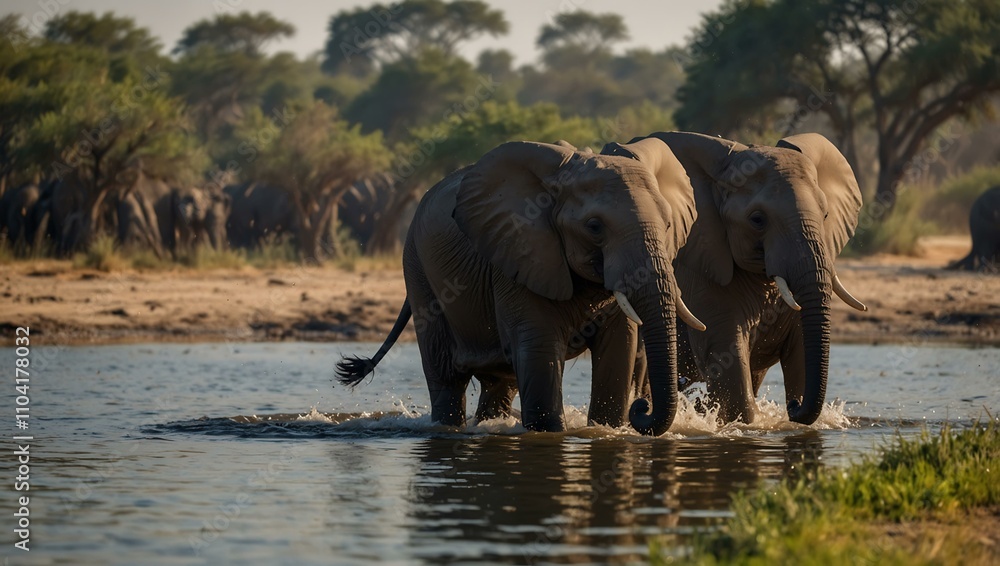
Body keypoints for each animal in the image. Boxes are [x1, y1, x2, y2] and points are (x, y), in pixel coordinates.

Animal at [336, 139, 706, 434]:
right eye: (594, 226)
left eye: (668, 224)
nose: (641, 407)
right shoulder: (517, 254)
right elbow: (541, 355)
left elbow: (619, 351)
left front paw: (608, 429)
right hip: (417, 268)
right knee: (446, 378)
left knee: (501, 383)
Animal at [611, 132, 867, 425]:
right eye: (757, 220)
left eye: (825, 215)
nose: (792, 406)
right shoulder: (702, 269)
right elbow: (726, 356)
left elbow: (802, 350)